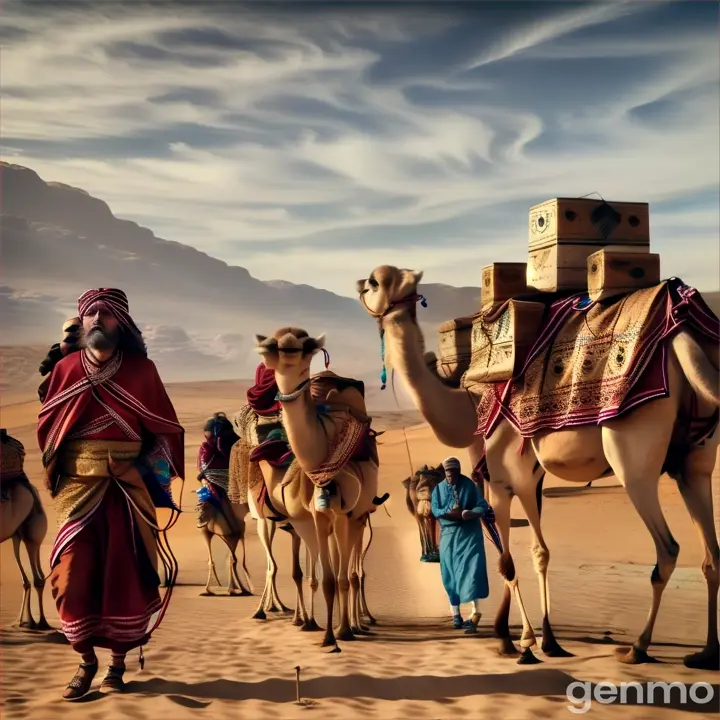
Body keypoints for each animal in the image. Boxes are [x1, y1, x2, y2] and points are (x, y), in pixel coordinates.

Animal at [253, 330, 386, 648]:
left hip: (355, 517)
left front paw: (343, 631)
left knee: (350, 573)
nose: (284, 354)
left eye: (306, 346)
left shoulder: (343, 515)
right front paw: (324, 632)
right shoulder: (314, 517)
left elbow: (342, 577)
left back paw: (353, 622)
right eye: (272, 343)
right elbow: (323, 578)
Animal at [358, 264, 720, 668]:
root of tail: (682, 333)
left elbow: (508, 560)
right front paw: (545, 640)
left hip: (633, 459)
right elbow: (539, 553)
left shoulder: (504, 481)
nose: (359, 286)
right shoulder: (531, 481)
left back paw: (638, 647)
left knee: (668, 549)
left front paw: (515, 641)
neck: (469, 404)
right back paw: (707, 652)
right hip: (694, 460)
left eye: (373, 282)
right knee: (712, 555)